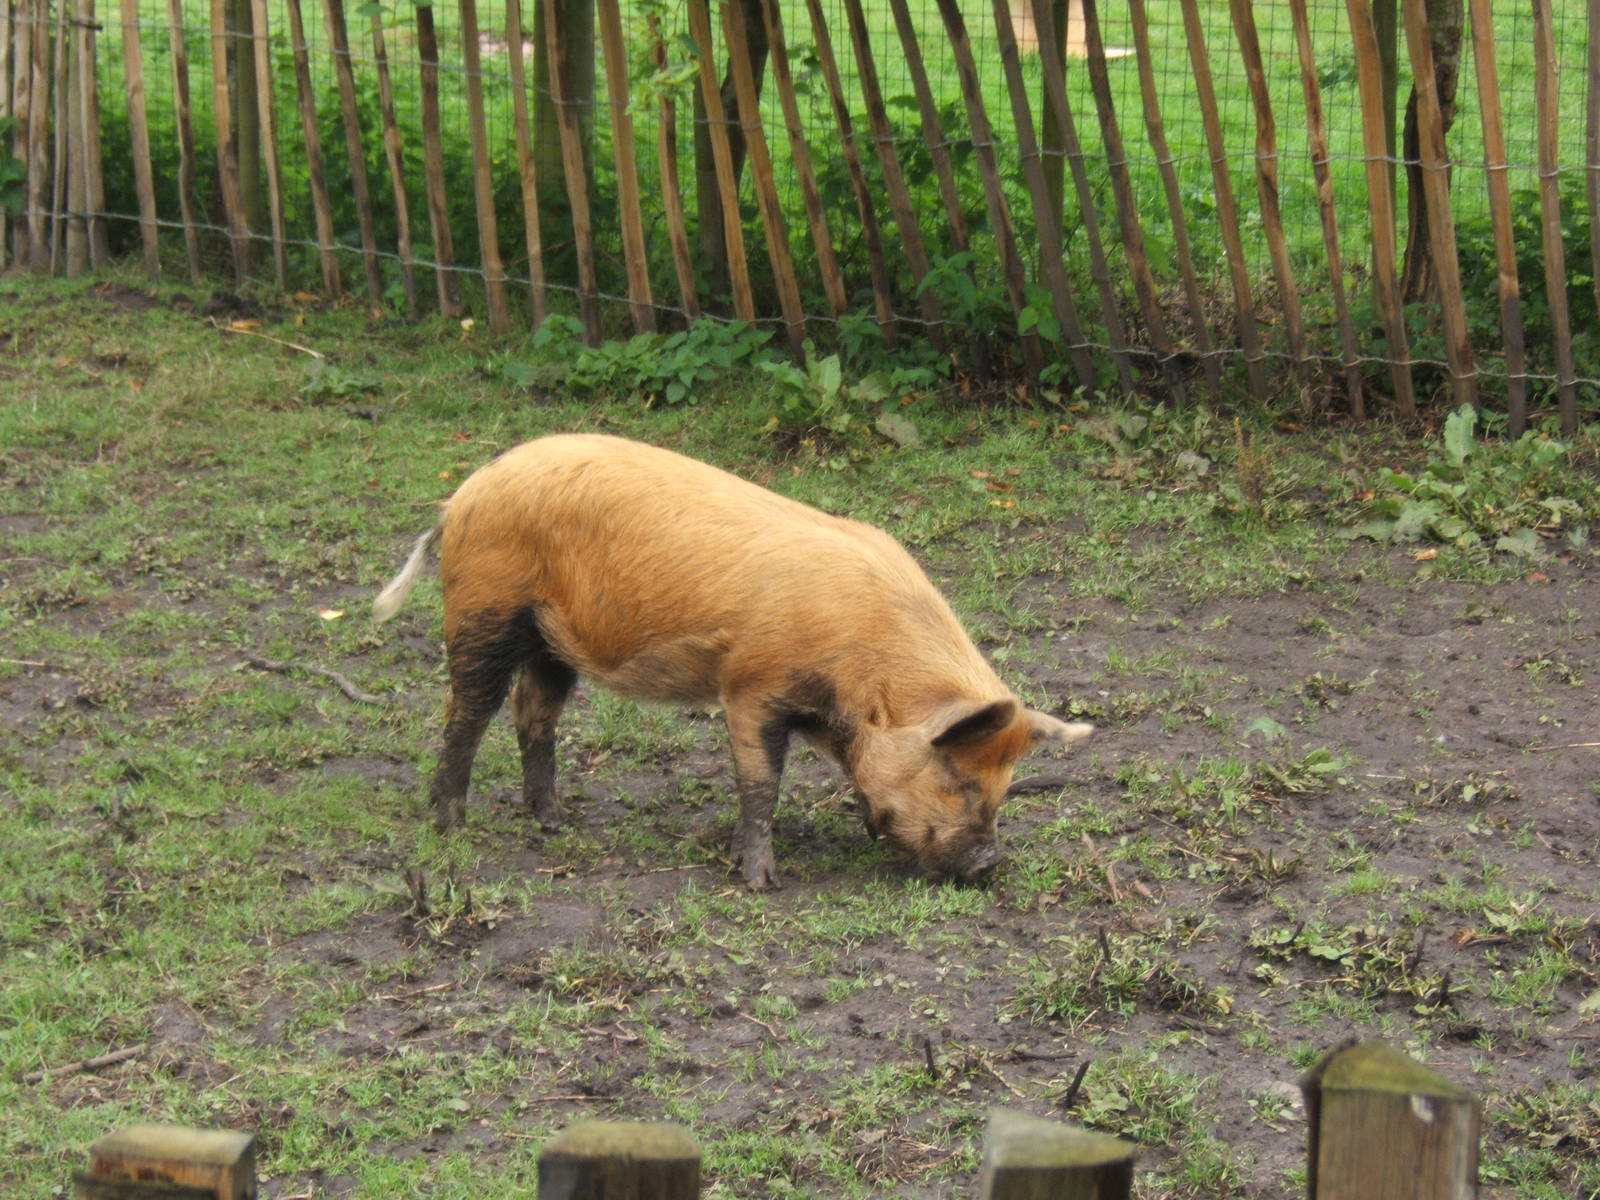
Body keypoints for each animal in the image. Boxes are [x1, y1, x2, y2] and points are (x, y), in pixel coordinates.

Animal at [373, 433, 1091, 888]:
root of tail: (462, 496)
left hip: (553, 641)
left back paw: (557, 821)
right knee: (466, 711)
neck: (862, 680)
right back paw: (451, 825)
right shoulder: (750, 685)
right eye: (959, 778)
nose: (990, 864)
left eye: (1004, 785)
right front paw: (760, 881)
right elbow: (760, 782)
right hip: (485, 609)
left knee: (535, 714)